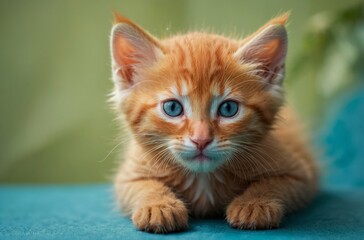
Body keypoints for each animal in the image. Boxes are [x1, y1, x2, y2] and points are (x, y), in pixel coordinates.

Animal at [109, 12, 318, 232]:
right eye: (172, 108)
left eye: (228, 109)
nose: (201, 140)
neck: (203, 179)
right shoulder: (127, 177)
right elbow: (143, 185)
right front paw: (158, 205)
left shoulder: (302, 175)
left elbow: (273, 184)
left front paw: (254, 203)